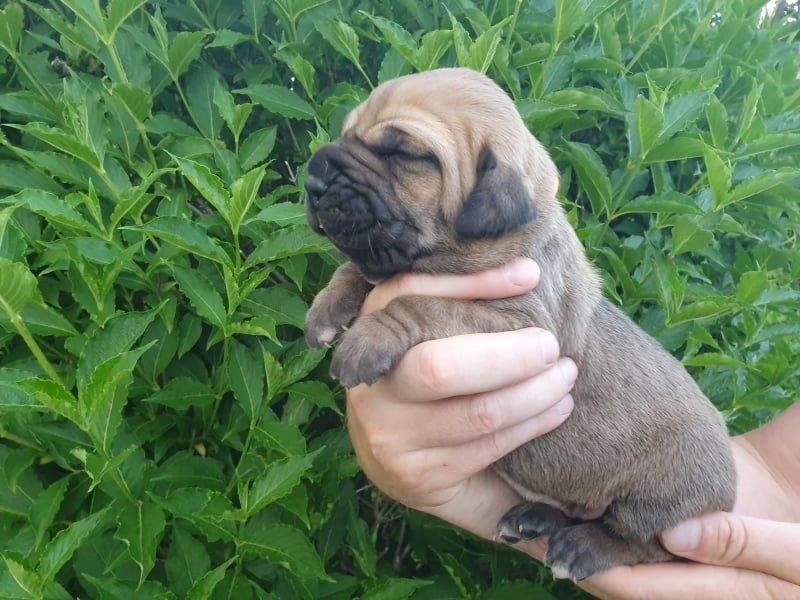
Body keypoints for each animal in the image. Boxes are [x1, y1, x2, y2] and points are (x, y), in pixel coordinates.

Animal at [302, 68, 736, 580]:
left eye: (402, 154)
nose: (312, 178)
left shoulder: (517, 323)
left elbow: (423, 302)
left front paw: (369, 335)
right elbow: (361, 270)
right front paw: (328, 307)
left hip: (659, 498)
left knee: (646, 544)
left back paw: (584, 548)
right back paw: (536, 518)